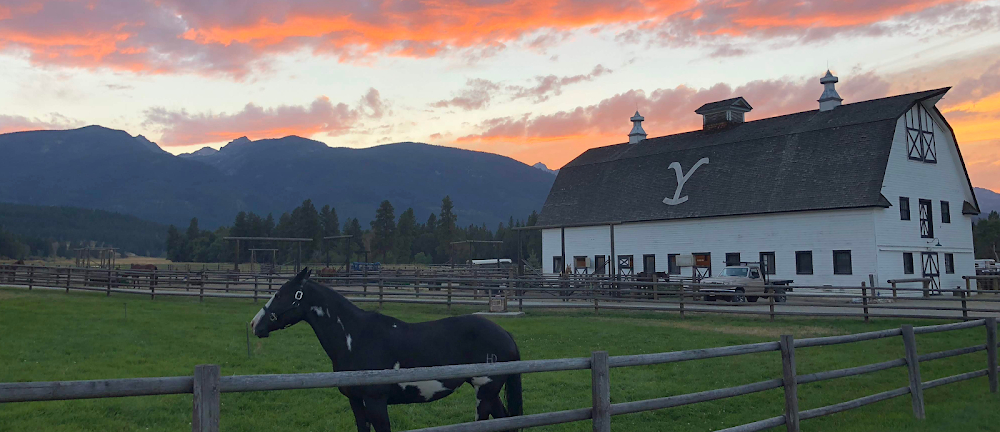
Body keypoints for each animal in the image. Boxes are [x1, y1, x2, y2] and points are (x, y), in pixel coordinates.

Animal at [250, 268, 524, 430]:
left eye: (281, 294)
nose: (254, 324)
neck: (355, 337)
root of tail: (506, 334)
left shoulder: (376, 403)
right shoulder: (356, 403)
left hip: (484, 392)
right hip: (490, 393)